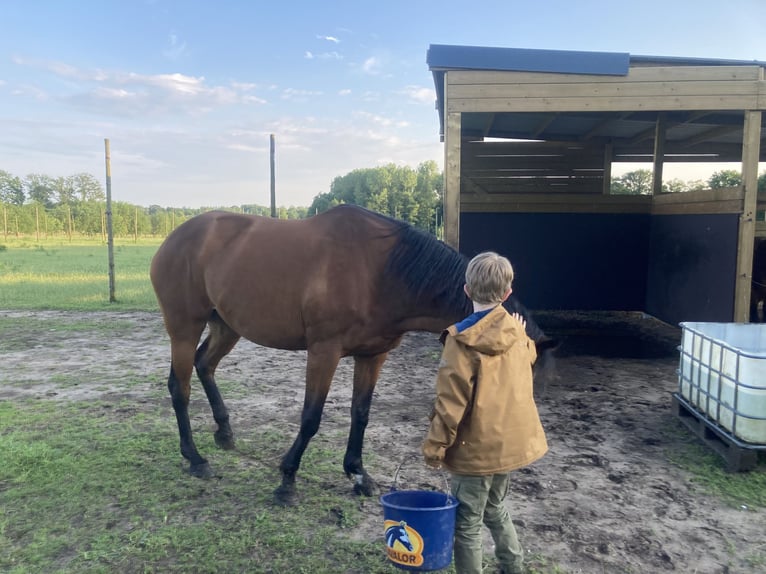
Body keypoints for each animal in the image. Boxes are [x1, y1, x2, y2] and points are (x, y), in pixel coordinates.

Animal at [152, 205, 560, 506]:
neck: (380, 272)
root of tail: (175, 238)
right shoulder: (324, 351)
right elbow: (311, 418)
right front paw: (287, 480)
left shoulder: (373, 355)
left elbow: (360, 414)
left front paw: (359, 475)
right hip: (184, 327)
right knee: (179, 388)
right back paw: (195, 459)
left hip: (227, 326)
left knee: (205, 365)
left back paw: (224, 433)